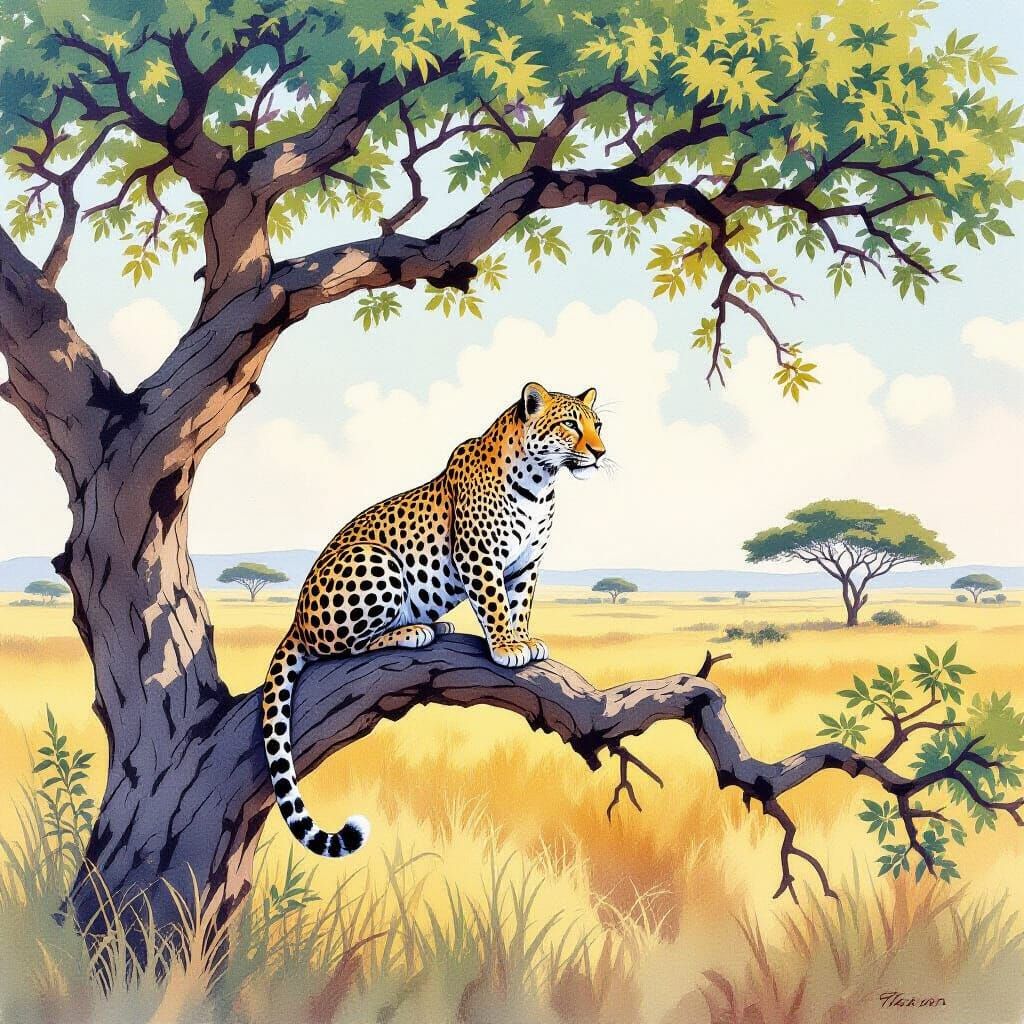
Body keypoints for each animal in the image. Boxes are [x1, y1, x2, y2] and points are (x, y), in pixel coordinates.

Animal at [261, 382, 606, 858]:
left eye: (598, 424)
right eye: (571, 424)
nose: (601, 452)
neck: (541, 485)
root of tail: (295, 619)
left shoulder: (526, 563)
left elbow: (520, 603)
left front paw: (523, 639)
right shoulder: (480, 556)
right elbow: (495, 603)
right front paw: (506, 647)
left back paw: (437, 626)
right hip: (376, 560)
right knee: (341, 647)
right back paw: (411, 631)